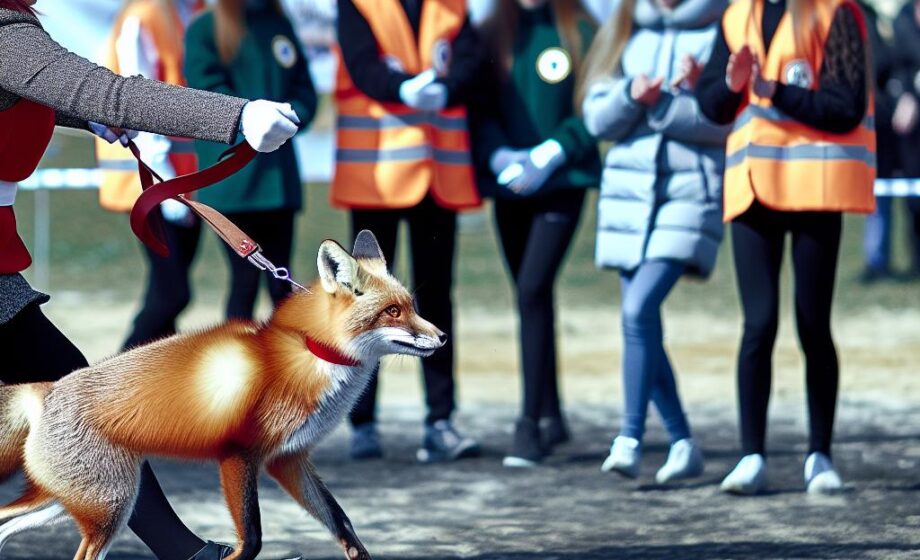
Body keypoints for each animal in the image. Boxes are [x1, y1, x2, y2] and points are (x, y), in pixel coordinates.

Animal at [0, 230, 445, 560]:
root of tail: (47, 390)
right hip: (110, 506)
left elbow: (342, 521)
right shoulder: (238, 455)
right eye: (392, 312)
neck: (311, 351)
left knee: (6, 520)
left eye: (411, 305)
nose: (442, 337)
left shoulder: (288, 459)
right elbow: (253, 539)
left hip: (74, 501)